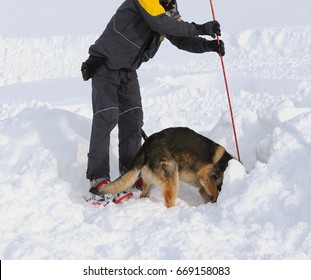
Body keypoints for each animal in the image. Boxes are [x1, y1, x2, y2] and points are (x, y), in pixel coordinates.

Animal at [98, 128, 233, 207]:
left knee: (143, 195)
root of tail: (145, 146)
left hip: (151, 182)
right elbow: (215, 192)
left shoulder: (202, 188)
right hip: (172, 178)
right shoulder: (205, 176)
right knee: (169, 201)